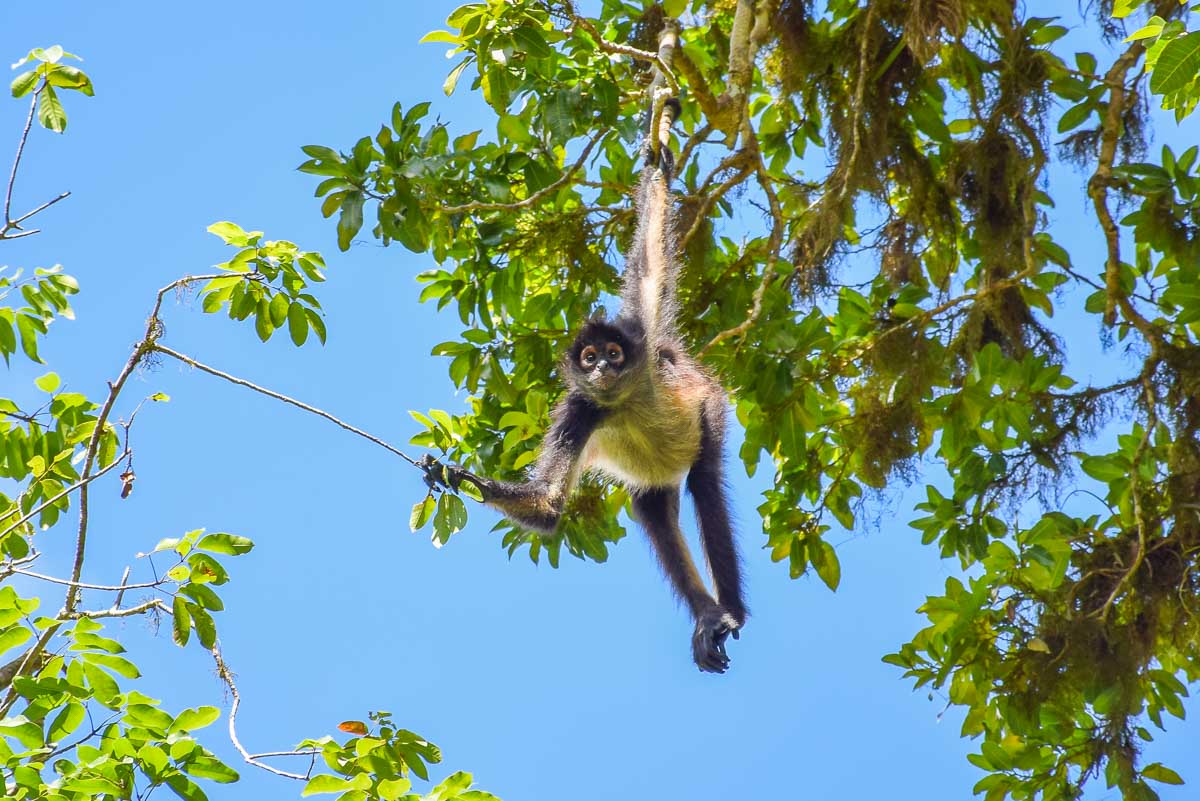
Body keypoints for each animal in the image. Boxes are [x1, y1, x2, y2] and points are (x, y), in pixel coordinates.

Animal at [425, 97, 746, 673]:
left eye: (613, 355)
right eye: (590, 359)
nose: (602, 370)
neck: (620, 401)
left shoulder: (639, 336)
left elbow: (649, 266)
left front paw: (657, 167)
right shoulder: (579, 410)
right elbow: (549, 505)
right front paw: (450, 474)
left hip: (707, 405)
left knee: (705, 482)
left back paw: (729, 611)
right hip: (652, 479)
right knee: (654, 511)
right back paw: (707, 617)